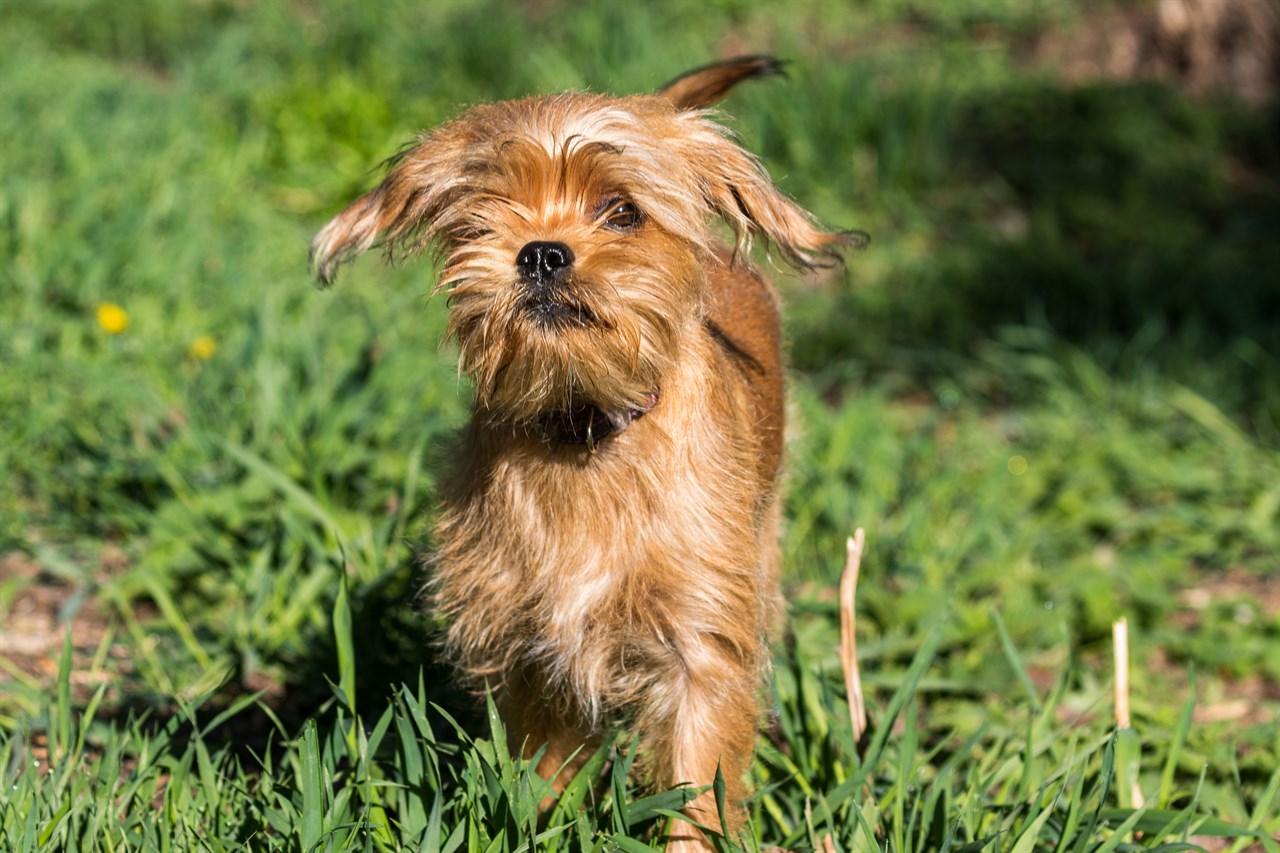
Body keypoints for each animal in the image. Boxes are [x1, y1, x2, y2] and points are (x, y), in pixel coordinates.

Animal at [312, 56, 860, 845]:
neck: (585, 431)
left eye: (622, 211)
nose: (541, 251)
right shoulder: (529, 651)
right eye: (485, 212)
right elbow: (538, 782)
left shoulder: (700, 648)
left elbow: (700, 790)